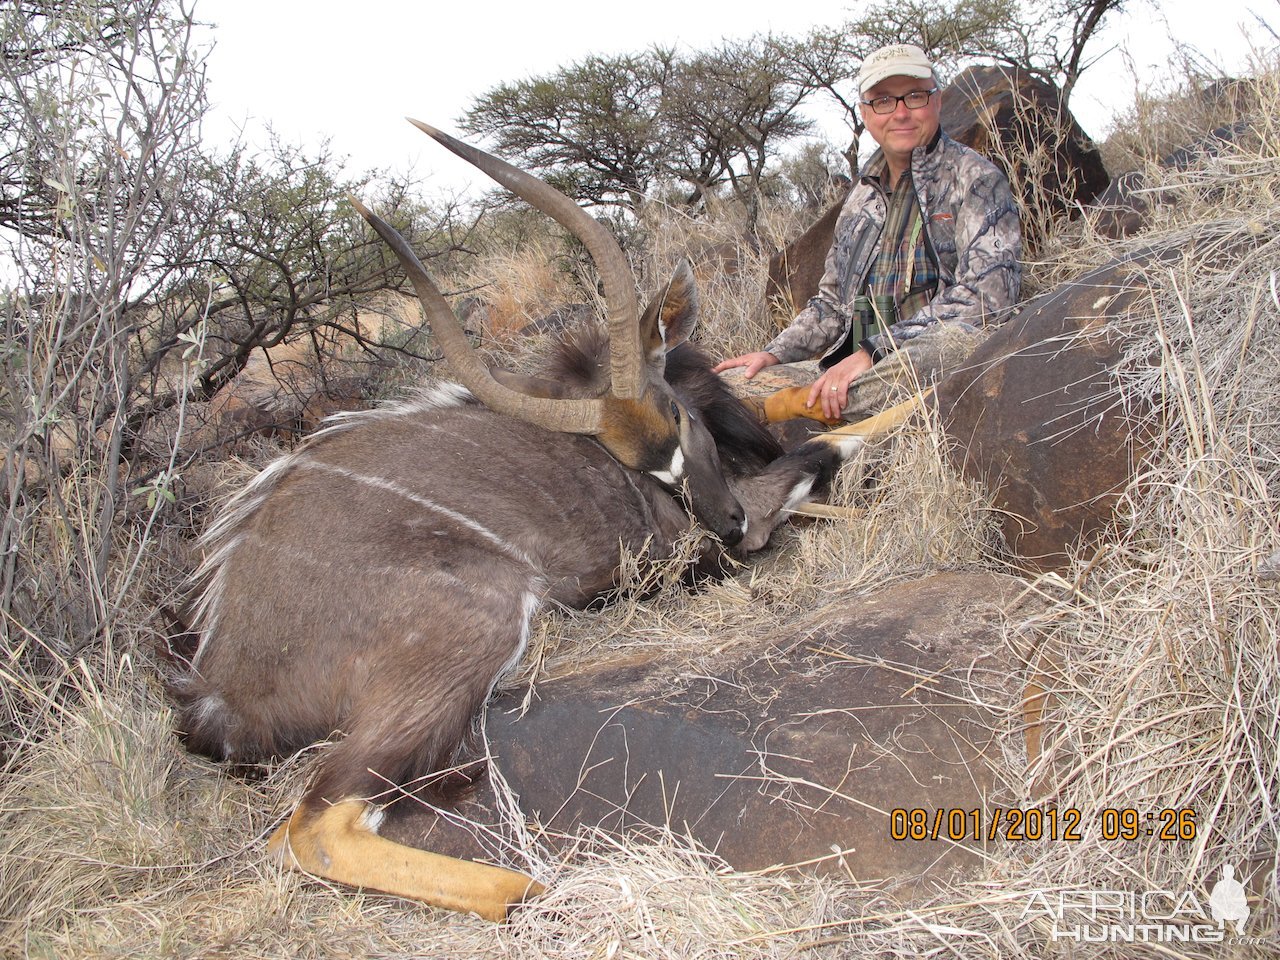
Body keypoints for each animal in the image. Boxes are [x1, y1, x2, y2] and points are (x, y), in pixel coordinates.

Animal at [170, 122, 921, 926]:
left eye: (679, 419)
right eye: (661, 446)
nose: (727, 523)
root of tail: (217, 692)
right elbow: (828, 444)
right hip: (478, 620)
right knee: (316, 824)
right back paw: (533, 888)